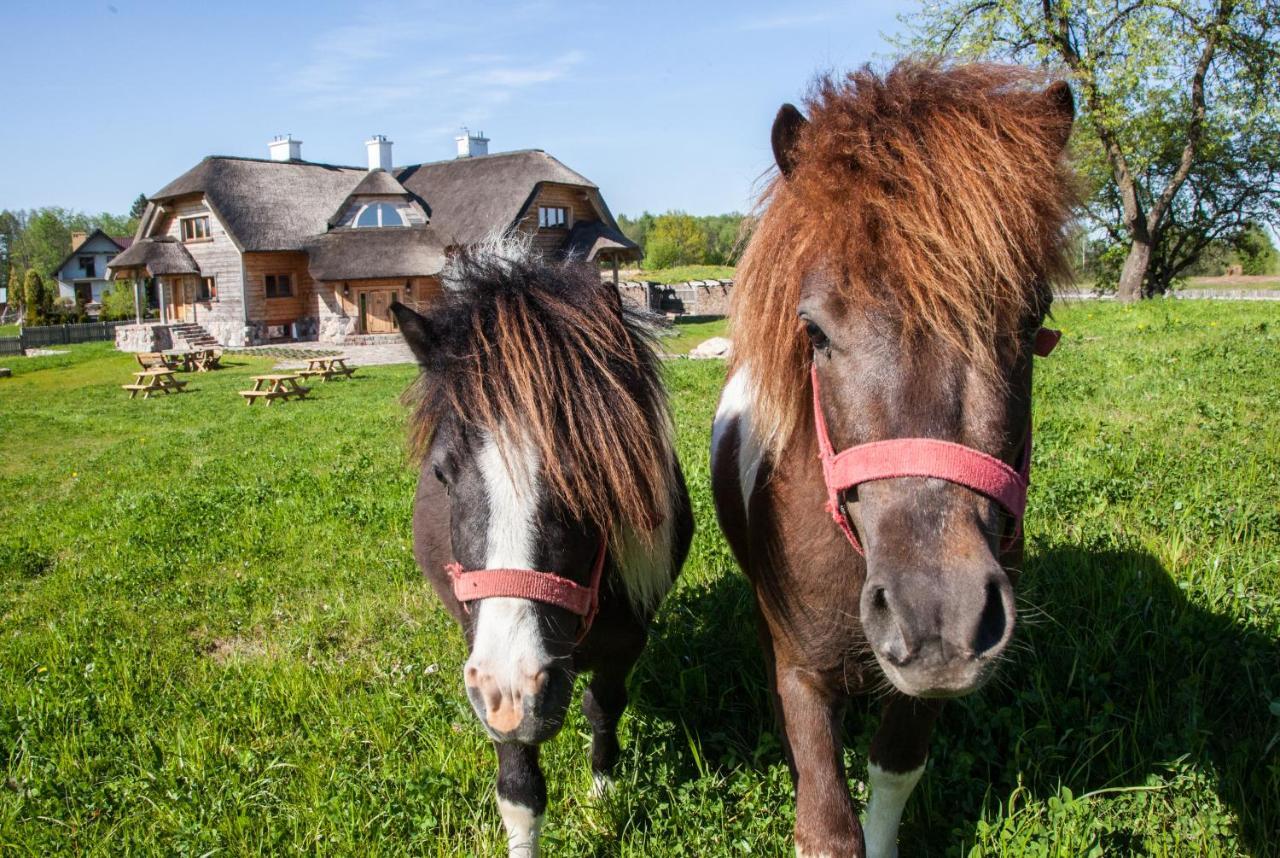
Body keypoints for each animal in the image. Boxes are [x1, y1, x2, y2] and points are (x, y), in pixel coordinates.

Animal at [711, 64, 1080, 855]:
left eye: (1031, 322)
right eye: (814, 331)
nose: (937, 613)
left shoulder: (925, 692)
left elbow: (894, 772)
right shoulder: (803, 673)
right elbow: (826, 824)